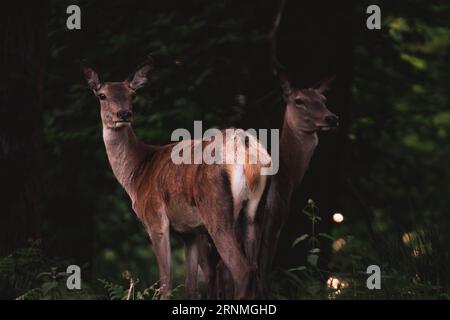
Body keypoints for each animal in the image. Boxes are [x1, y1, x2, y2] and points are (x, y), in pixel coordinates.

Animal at [81, 58, 270, 300]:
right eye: (102, 95)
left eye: (133, 94)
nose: (124, 114)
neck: (136, 172)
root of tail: (245, 147)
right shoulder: (190, 232)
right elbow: (190, 287)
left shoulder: (155, 218)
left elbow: (166, 283)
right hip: (255, 211)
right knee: (257, 269)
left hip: (216, 210)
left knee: (242, 269)